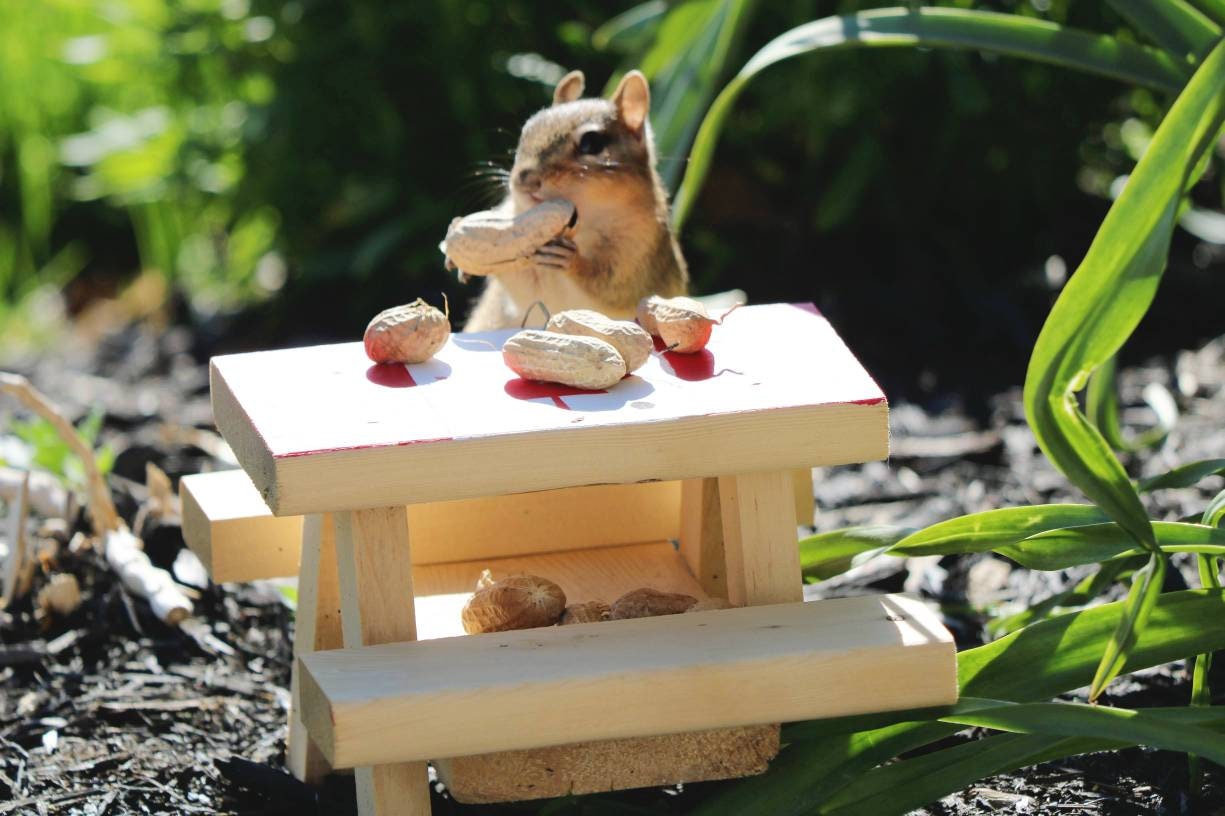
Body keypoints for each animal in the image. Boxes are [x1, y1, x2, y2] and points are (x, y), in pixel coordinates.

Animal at [461, 69, 689, 331]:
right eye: (526, 131)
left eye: (591, 143)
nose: (524, 180)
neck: (582, 226)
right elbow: (519, 279)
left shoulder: (639, 254)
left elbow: (611, 287)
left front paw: (571, 260)